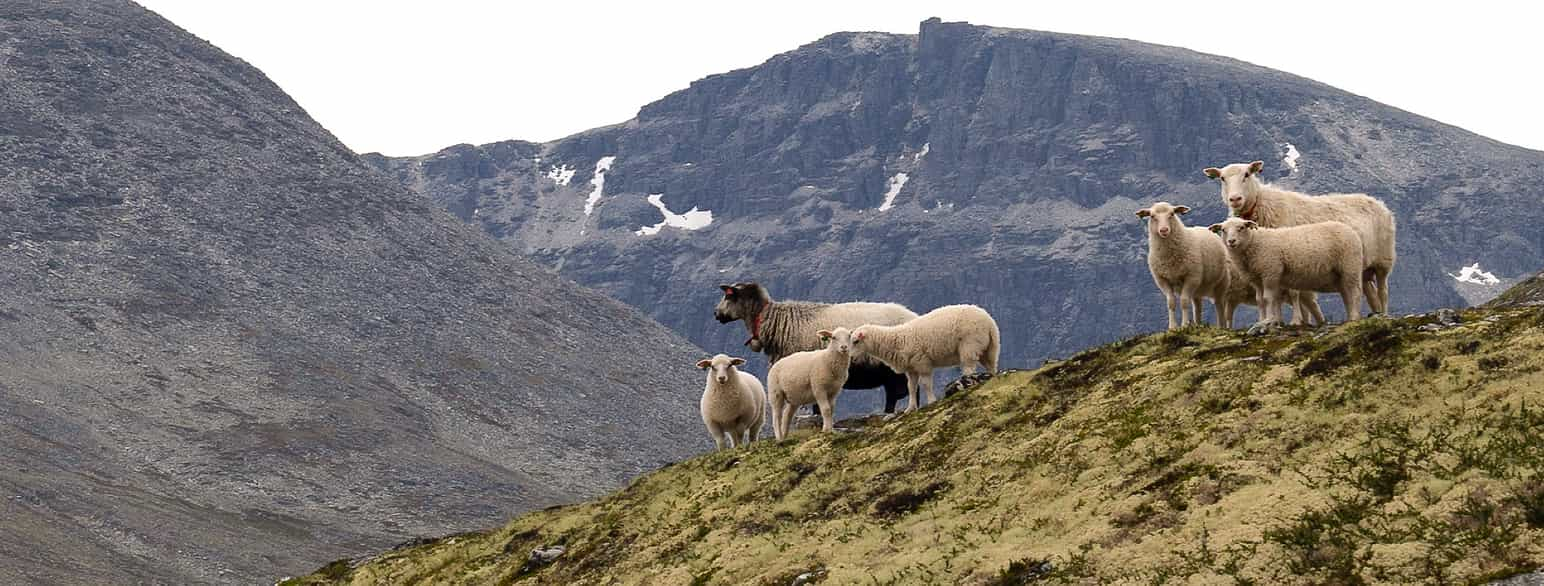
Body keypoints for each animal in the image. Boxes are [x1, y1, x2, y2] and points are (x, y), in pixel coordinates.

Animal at [713, 282, 914, 413]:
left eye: (728, 296)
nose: (716, 314)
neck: (776, 321)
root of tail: (912, 315)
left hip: (892, 369)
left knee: (898, 393)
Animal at [846, 303, 1000, 413]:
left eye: (856, 341)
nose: (851, 358)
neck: (897, 340)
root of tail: (989, 321)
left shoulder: (922, 363)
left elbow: (926, 384)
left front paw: (931, 401)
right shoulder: (911, 369)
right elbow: (911, 387)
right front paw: (910, 408)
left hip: (970, 345)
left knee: (968, 368)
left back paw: (968, 383)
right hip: (988, 349)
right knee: (992, 366)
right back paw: (990, 378)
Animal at [1136, 202, 1229, 330]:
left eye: (1172, 214)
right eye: (1152, 216)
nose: (1164, 230)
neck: (1170, 258)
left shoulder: (1191, 277)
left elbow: (1184, 301)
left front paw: (1185, 325)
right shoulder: (1162, 280)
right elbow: (1171, 302)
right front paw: (1173, 327)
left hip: (1221, 283)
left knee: (1219, 305)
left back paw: (1221, 327)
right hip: (1197, 288)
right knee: (1197, 306)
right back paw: (1197, 324)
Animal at [1204, 215, 1364, 325]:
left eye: (1241, 228)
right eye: (1223, 230)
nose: (1231, 241)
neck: (1254, 244)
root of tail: (1351, 231)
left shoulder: (1270, 272)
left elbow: (1268, 299)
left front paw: (1269, 320)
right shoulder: (1257, 279)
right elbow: (1260, 300)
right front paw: (1263, 320)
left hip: (1350, 266)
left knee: (1355, 292)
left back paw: (1354, 317)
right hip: (1339, 275)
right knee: (1346, 294)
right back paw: (1350, 317)